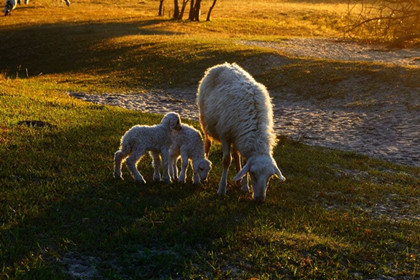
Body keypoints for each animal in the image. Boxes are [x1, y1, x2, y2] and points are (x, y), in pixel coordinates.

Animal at [197, 61, 286, 201]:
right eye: (253, 173)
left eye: (270, 176)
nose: (260, 200)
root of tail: (223, 64)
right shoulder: (225, 135)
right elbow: (226, 161)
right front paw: (221, 189)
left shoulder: (239, 135)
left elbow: (244, 161)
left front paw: (245, 186)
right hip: (205, 121)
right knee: (208, 143)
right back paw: (204, 165)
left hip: (236, 135)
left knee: (236, 153)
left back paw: (238, 180)